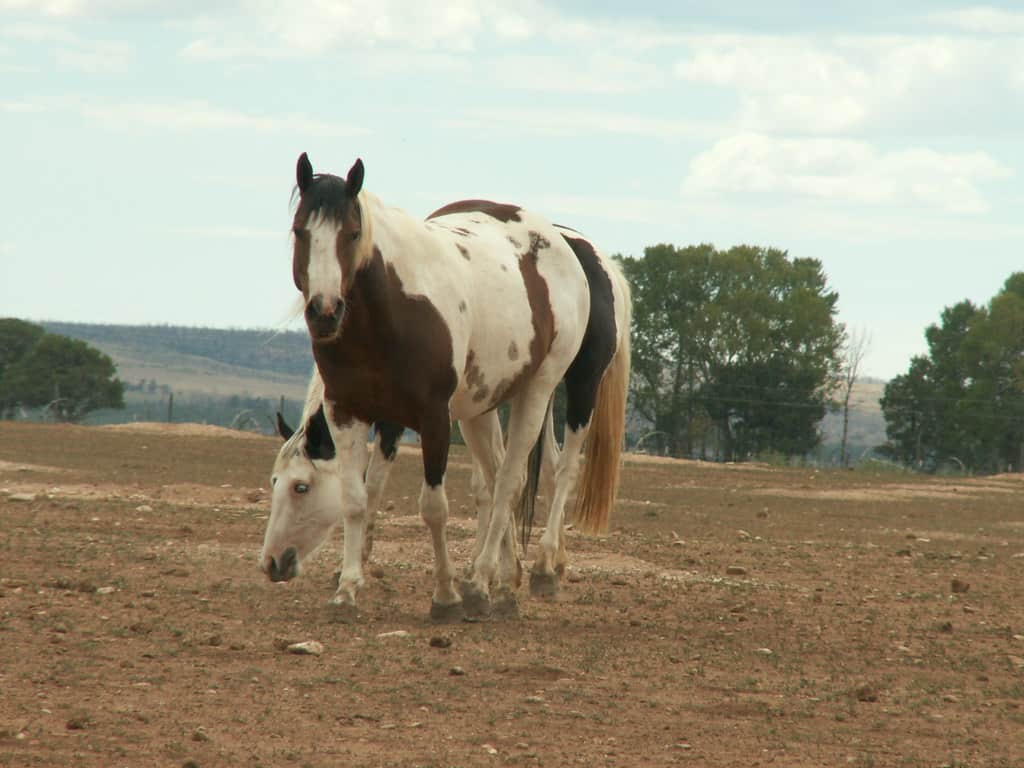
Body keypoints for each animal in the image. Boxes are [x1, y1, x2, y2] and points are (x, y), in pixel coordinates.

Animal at [260, 153, 626, 622]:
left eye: (301, 487)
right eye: (299, 230)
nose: (273, 562)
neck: (388, 313)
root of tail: (565, 244)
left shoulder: (431, 418)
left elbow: (434, 508)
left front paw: (446, 595)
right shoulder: (349, 411)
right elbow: (357, 497)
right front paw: (346, 589)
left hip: (558, 388)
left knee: (534, 477)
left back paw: (512, 576)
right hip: (484, 405)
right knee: (501, 478)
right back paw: (503, 576)